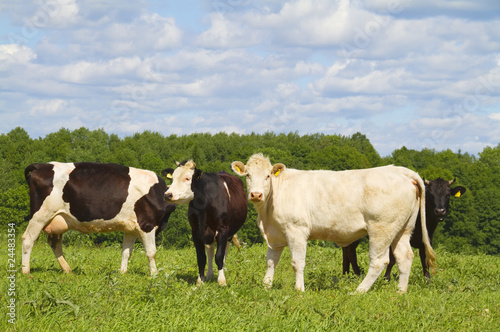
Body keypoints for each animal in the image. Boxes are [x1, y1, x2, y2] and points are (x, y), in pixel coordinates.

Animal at [22, 163, 177, 274]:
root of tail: (41, 165)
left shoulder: (131, 228)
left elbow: (126, 252)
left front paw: (122, 273)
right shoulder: (147, 224)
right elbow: (151, 252)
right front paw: (154, 275)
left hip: (57, 219)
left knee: (54, 243)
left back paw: (67, 270)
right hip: (40, 216)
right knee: (28, 239)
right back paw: (26, 272)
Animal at [232, 154, 436, 294]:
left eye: (268, 176)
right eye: (248, 175)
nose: (256, 194)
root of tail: (402, 171)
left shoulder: (296, 230)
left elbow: (297, 262)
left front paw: (299, 290)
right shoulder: (275, 235)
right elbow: (270, 262)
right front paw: (266, 286)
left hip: (382, 228)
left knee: (379, 261)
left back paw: (359, 291)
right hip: (403, 228)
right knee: (405, 257)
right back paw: (400, 291)